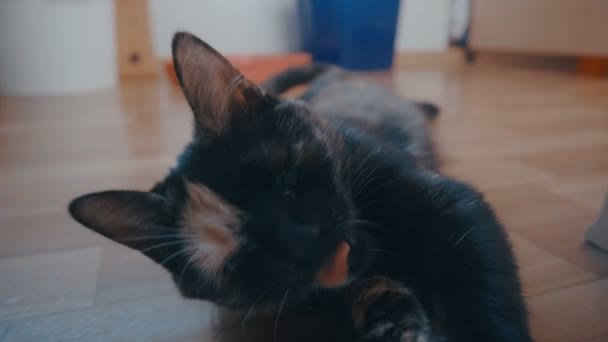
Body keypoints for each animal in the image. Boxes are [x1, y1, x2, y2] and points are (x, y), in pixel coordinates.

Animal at [69, 32, 528, 342]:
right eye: (243, 256)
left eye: (288, 179)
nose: (304, 237)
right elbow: (360, 288)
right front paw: (392, 320)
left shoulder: (450, 205)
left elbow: (476, 282)